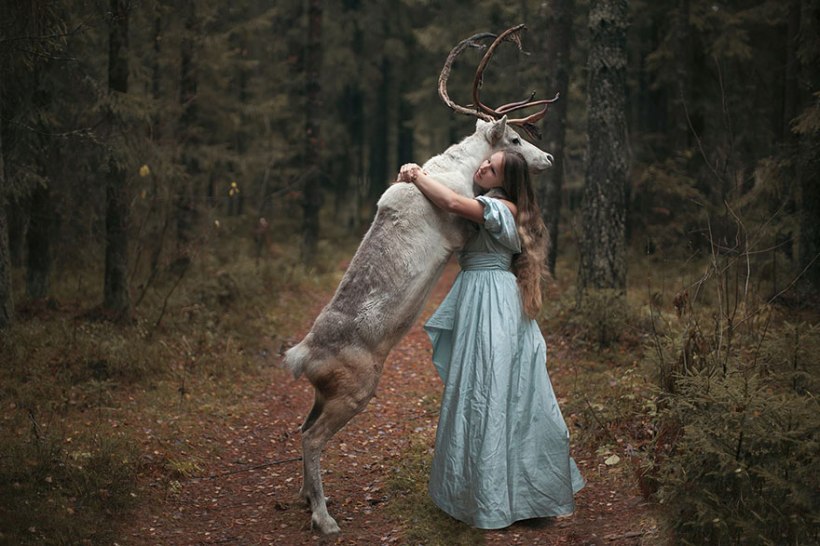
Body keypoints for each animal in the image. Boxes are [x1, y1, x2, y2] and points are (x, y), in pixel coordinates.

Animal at [284, 25, 559, 535]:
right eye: (513, 137)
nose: (548, 155)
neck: (460, 172)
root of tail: (301, 357)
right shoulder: (459, 225)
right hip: (355, 391)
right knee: (312, 438)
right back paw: (324, 518)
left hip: (323, 393)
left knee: (302, 428)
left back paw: (307, 498)